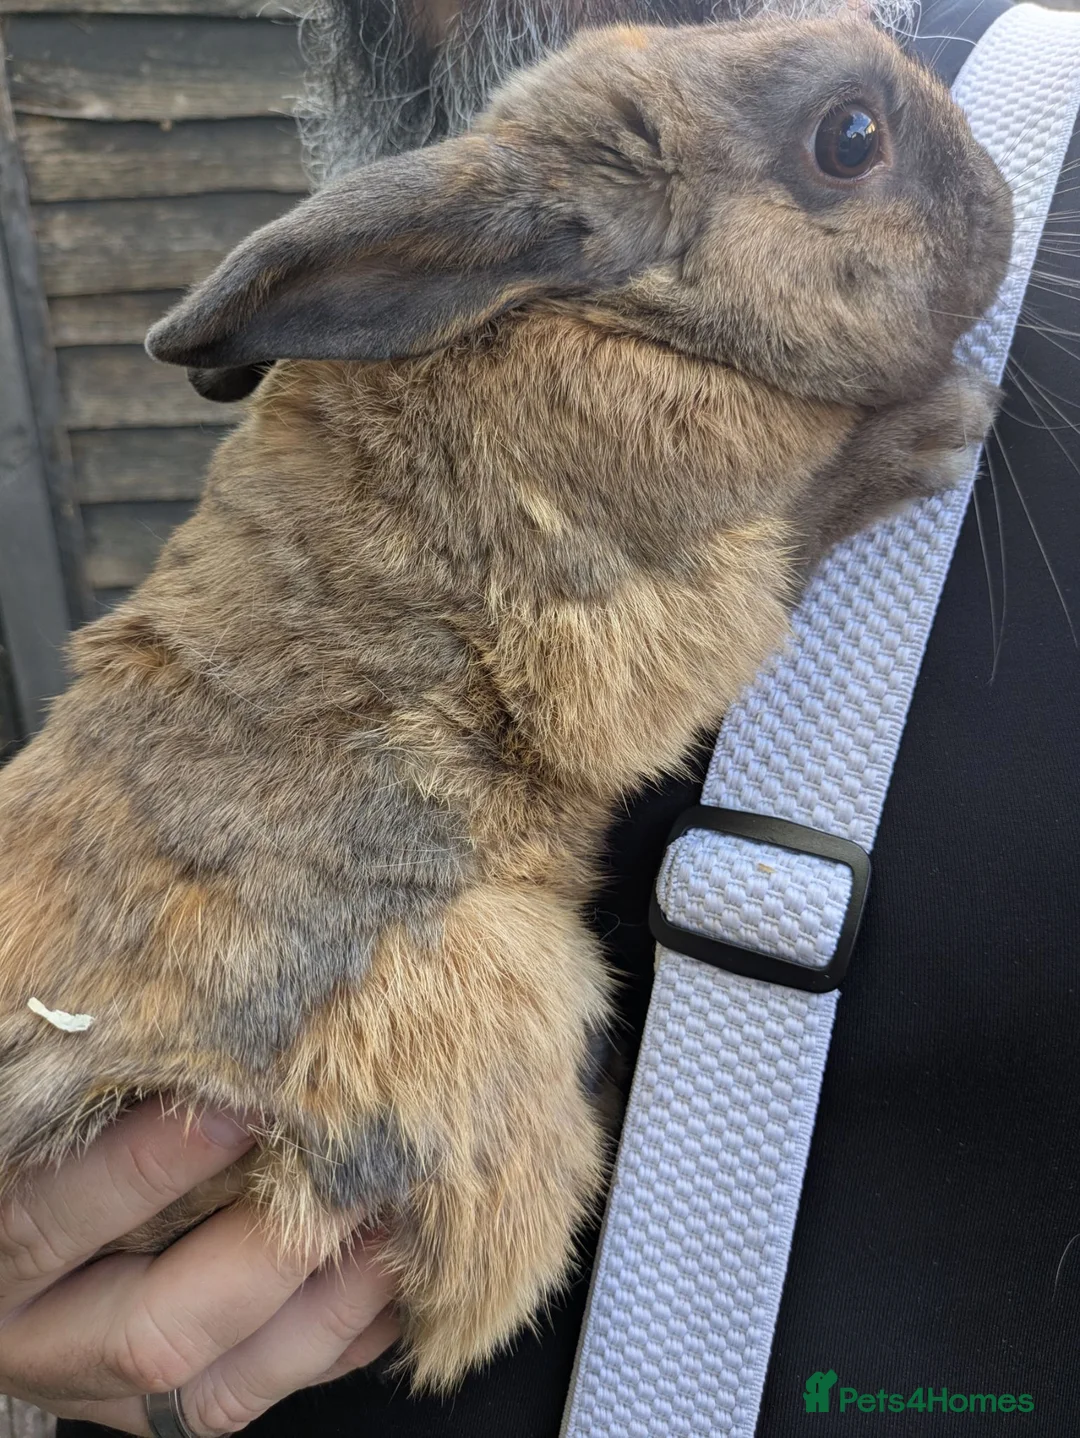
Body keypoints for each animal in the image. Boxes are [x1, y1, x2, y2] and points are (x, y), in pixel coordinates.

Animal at [0, 15, 1011, 1391]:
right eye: (849, 139)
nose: (1004, 211)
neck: (609, 313)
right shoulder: (627, 610)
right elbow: (783, 535)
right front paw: (934, 431)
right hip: (501, 990)